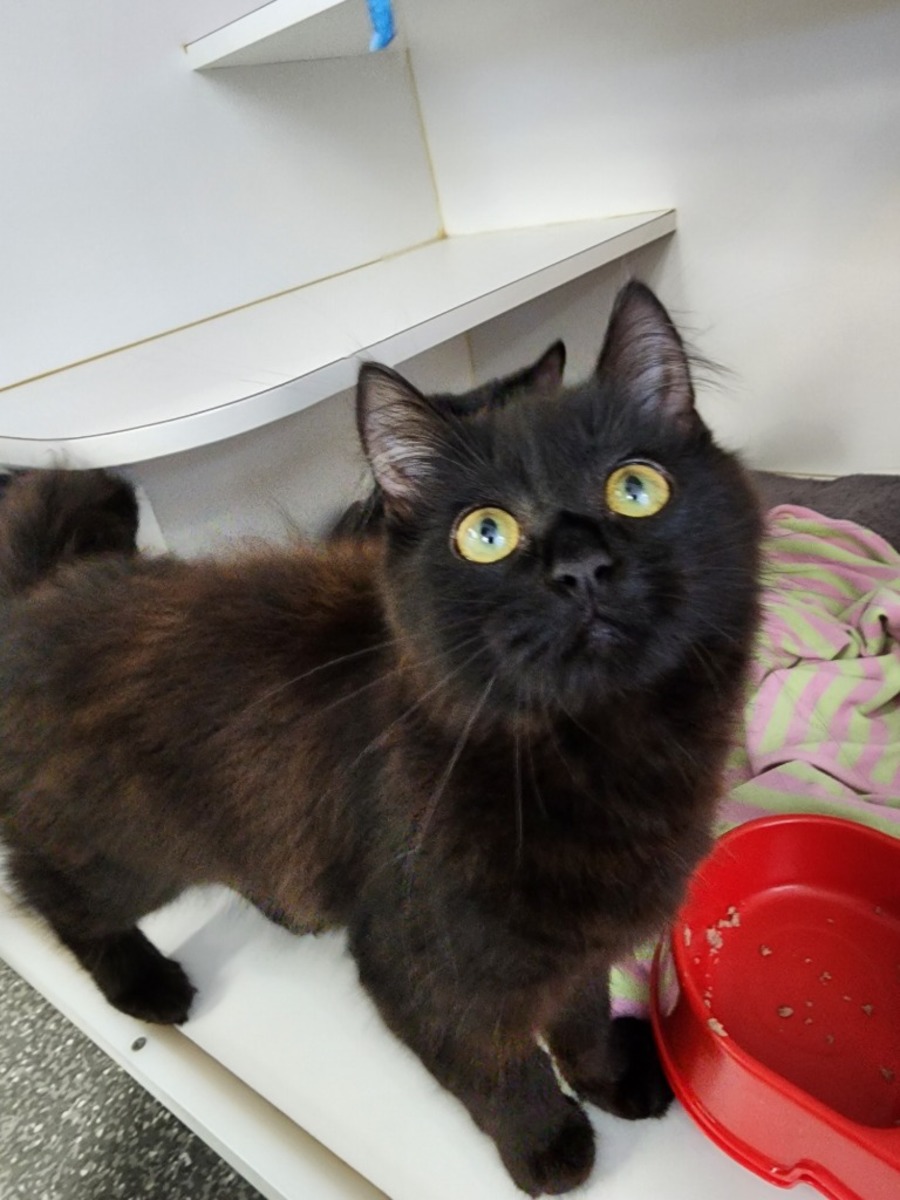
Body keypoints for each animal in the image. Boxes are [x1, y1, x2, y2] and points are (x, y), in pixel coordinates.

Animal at [0, 282, 761, 1196]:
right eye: (486, 534)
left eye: (635, 488)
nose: (580, 568)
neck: (597, 753)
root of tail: (49, 587)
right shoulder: (424, 967)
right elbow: (500, 1073)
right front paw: (549, 1152)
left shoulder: (575, 946)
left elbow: (578, 1023)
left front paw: (611, 1083)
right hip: (124, 846)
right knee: (51, 890)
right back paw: (141, 984)